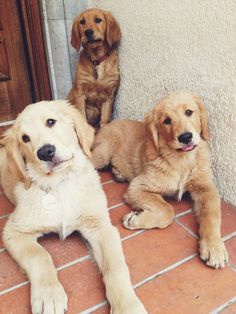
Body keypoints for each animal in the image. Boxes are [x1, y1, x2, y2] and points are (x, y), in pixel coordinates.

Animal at [0, 100, 147, 314]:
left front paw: (127, 305)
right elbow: (40, 256)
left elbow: (115, 268)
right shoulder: (14, 230)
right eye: (25, 138)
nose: (45, 152)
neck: (60, 184)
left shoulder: (101, 227)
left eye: (50, 121)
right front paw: (49, 295)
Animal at [92, 92, 229, 268]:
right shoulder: (138, 186)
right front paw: (135, 219)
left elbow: (212, 216)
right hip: (103, 153)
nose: (185, 137)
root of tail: (109, 123)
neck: (182, 160)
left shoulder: (206, 188)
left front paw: (214, 247)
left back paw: (118, 173)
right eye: (167, 121)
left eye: (189, 112)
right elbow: (167, 210)